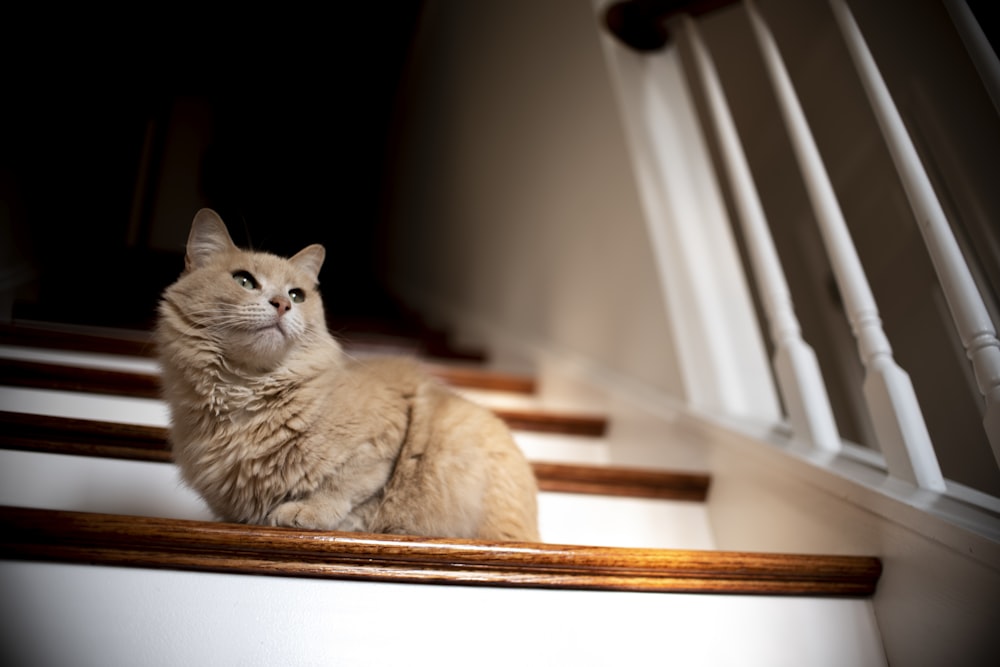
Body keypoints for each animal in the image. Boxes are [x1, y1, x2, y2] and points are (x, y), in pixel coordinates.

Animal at [154, 209, 540, 544]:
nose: (282, 304)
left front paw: (306, 512)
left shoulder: (386, 435)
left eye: (297, 294)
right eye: (244, 281)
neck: (245, 390)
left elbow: (344, 486)